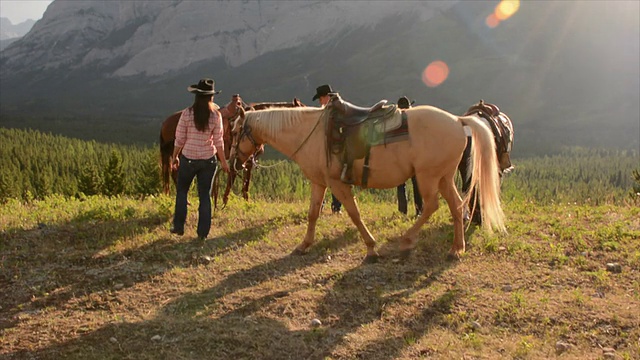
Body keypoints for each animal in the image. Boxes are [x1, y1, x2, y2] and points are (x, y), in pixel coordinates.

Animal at [230, 93, 504, 262]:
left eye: (234, 131)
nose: (234, 162)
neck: (310, 133)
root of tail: (458, 121)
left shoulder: (337, 184)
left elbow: (354, 213)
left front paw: (372, 248)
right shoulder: (319, 182)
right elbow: (313, 214)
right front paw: (303, 245)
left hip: (428, 177)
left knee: (431, 205)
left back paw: (407, 240)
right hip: (444, 177)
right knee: (456, 206)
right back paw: (456, 249)